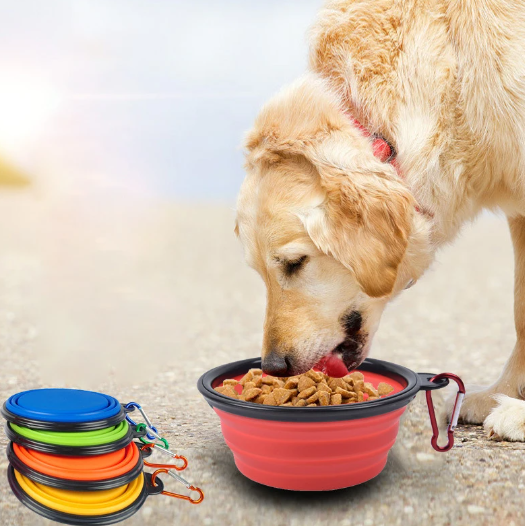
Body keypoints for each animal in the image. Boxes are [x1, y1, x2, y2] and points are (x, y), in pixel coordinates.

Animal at [235, 1, 524, 442]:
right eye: (259, 273)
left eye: (295, 263)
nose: (272, 366)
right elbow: (521, 309)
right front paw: (500, 394)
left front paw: (517, 412)